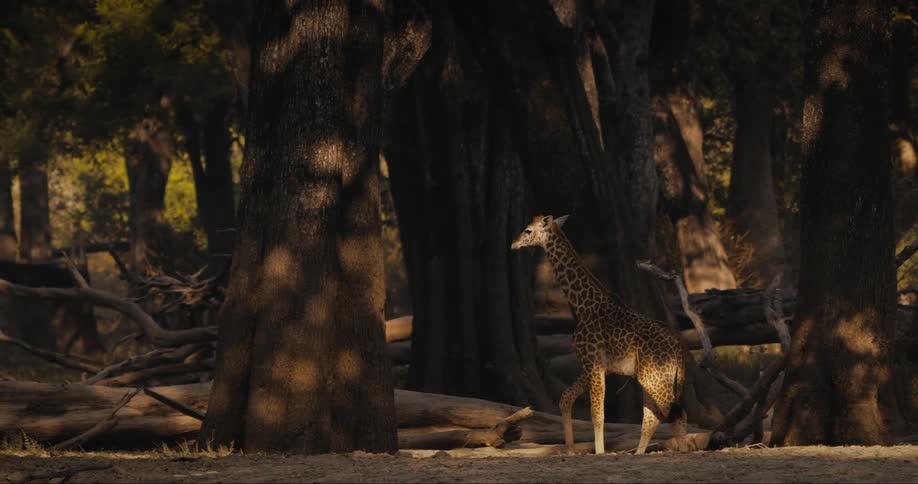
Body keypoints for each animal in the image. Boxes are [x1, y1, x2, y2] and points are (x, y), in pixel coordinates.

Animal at [511, 214, 687, 454]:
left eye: (528, 231)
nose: (513, 244)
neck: (582, 306)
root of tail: (678, 346)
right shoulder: (592, 364)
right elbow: (565, 399)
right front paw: (570, 450)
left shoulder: (593, 362)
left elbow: (597, 414)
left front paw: (600, 452)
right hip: (653, 378)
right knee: (654, 417)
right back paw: (640, 453)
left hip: (655, 377)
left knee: (676, 413)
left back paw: (683, 452)